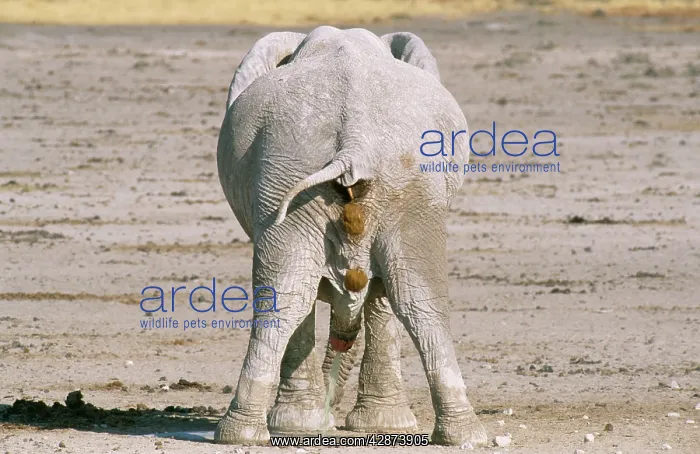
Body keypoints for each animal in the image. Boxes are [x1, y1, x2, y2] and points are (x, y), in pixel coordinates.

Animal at [214, 25, 487, 447]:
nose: (332, 411)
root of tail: (354, 145)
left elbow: (376, 293)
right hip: (308, 176)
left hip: (380, 182)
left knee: (404, 300)